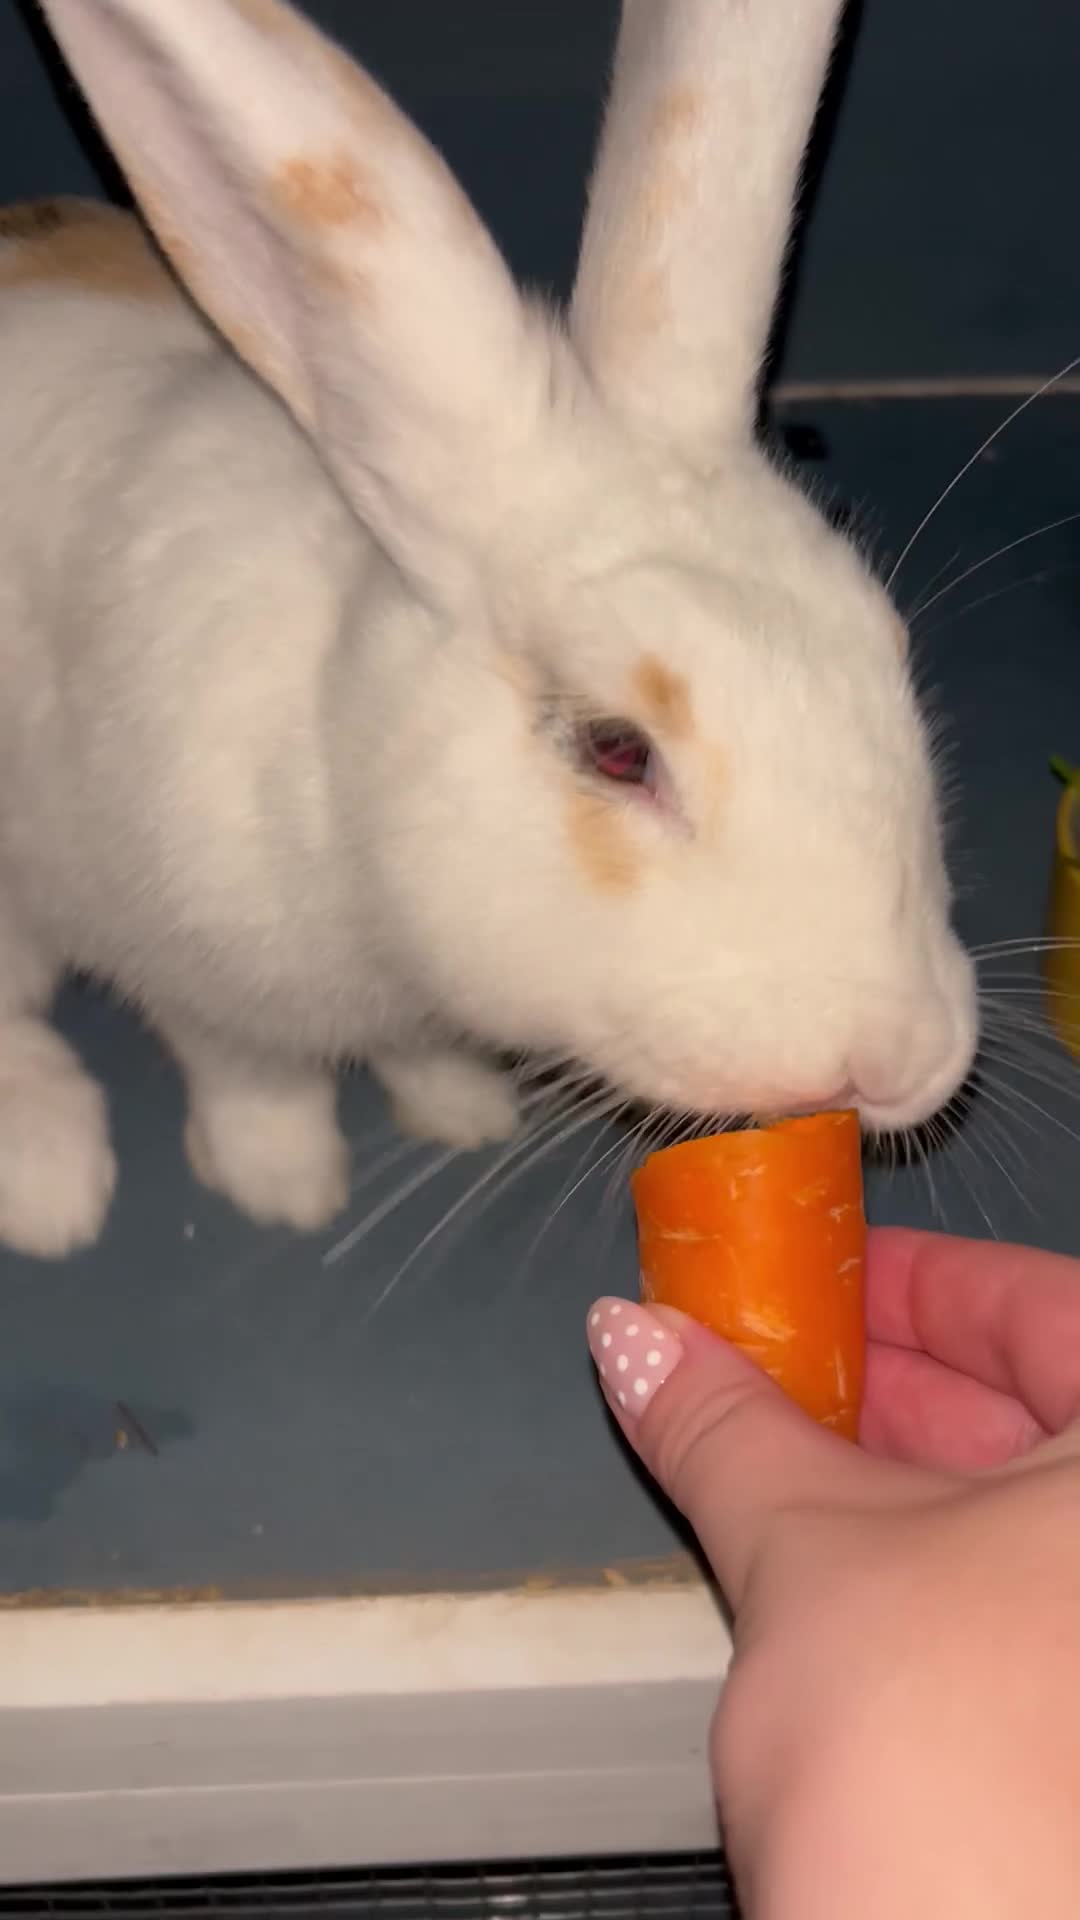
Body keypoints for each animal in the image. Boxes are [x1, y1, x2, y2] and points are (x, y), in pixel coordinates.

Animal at [0, 0, 977, 1260]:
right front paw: (287, 1184)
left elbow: (422, 1056)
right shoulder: (195, 971)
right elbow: (256, 1080)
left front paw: (463, 1112)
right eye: (618, 751)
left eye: (890, 654)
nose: (900, 1055)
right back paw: (52, 1184)